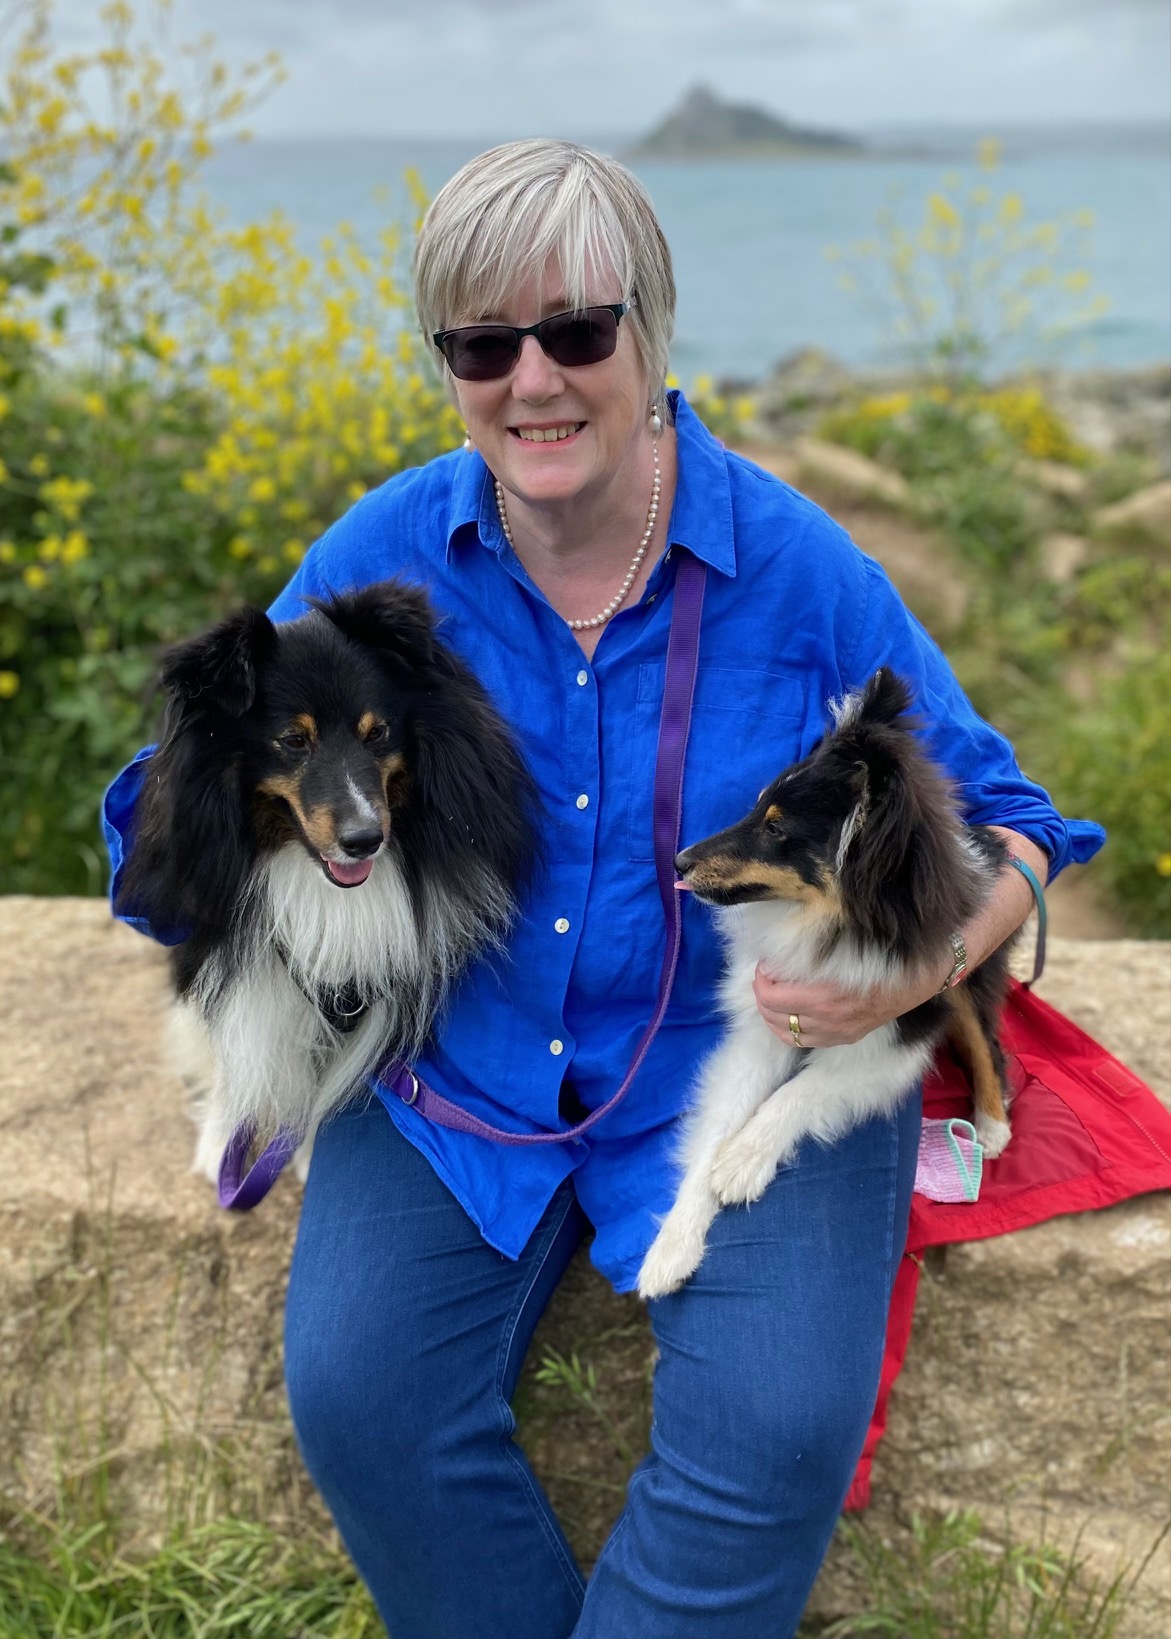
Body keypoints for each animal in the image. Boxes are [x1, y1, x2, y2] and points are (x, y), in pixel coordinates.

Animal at [115, 579, 535, 1183]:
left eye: (377, 733)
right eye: (294, 740)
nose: (365, 840)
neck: (307, 870)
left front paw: (303, 1152)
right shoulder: (222, 947)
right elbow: (231, 1046)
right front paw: (222, 1143)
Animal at [637, 667, 1014, 1299]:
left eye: (777, 829)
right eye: (755, 807)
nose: (679, 862)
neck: (828, 924)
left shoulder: (889, 1041)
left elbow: (800, 1091)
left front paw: (741, 1163)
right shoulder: (763, 1022)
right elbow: (719, 1122)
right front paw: (671, 1248)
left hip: (961, 978)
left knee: (985, 1040)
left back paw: (991, 1124)